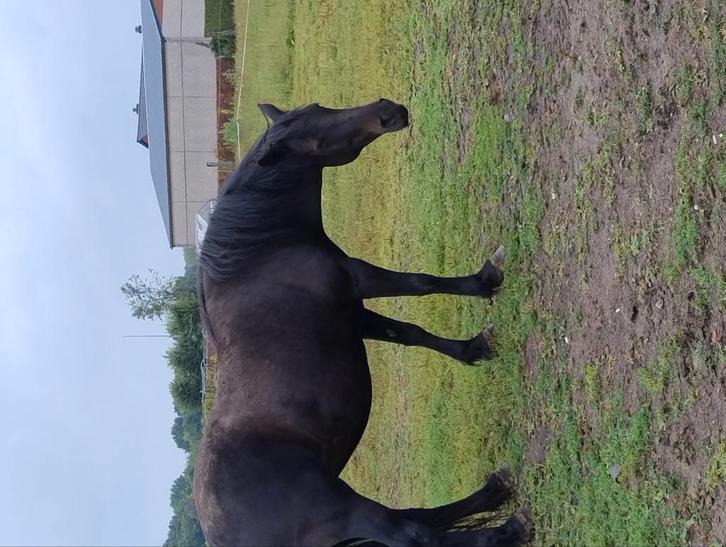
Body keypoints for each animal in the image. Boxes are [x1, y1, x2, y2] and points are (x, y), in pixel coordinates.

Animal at [193, 99, 530, 546]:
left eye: (318, 107)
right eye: (316, 141)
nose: (388, 111)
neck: (260, 253)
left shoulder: (353, 314)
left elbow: (409, 333)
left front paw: (472, 348)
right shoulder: (359, 280)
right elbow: (420, 284)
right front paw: (483, 281)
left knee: (418, 518)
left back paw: (493, 491)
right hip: (346, 511)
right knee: (413, 533)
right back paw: (505, 529)